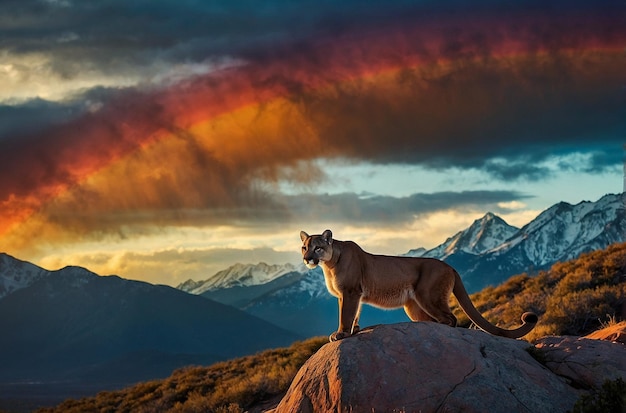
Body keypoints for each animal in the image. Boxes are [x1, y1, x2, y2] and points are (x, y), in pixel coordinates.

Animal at [298, 227, 536, 340]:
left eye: (318, 247)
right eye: (304, 247)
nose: (307, 258)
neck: (329, 264)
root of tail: (450, 266)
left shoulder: (350, 292)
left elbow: (346, 315)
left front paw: (341, 334)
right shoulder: (351, 295)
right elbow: (354, 314)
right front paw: (354, 330)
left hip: (428, 296)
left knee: (450, 319)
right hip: (414, 307)